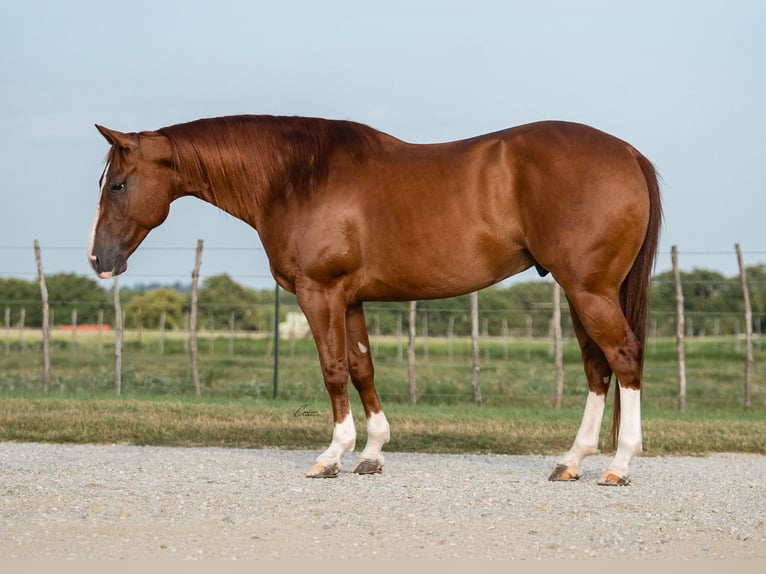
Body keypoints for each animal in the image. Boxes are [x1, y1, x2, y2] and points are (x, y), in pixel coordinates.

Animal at [88, 115, 661, 486]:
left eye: (118, 185)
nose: (99, 260)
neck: (297, 175)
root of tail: (629, 153)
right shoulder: (351, 299)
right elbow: (362, 367)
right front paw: (373, 453)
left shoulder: (319, 292)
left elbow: (333, 368)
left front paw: (332, 455)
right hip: (581, 293)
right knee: (597, 368)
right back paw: (573, 461)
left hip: (588, 292)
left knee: (623, 357)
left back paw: (619, 465)